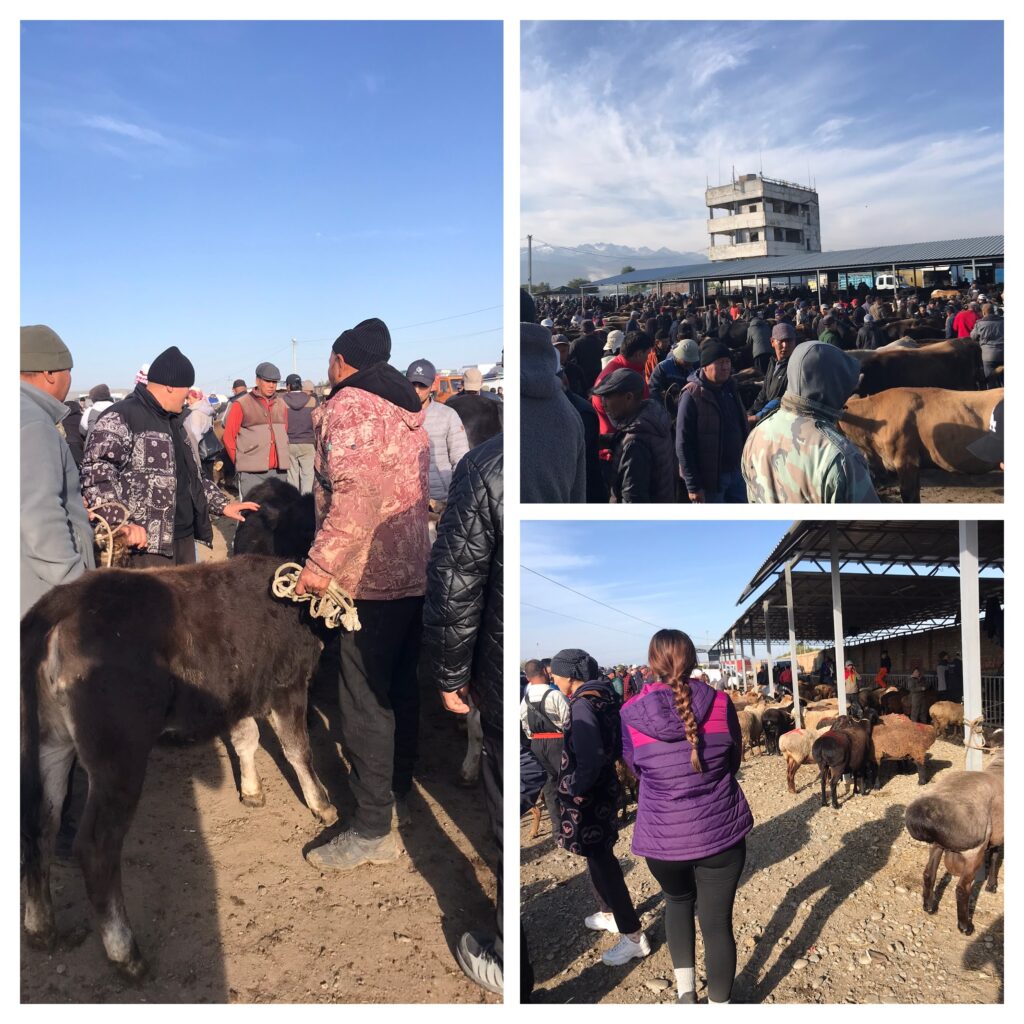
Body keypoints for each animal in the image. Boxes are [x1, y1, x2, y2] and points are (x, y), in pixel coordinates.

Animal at [905, 749, 999, 933]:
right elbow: (995, 856)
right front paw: (991, 885)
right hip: (973, 851)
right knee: (962, 889)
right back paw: (965, 926)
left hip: (937, 845)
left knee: (929, 874)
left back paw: (929, 906)